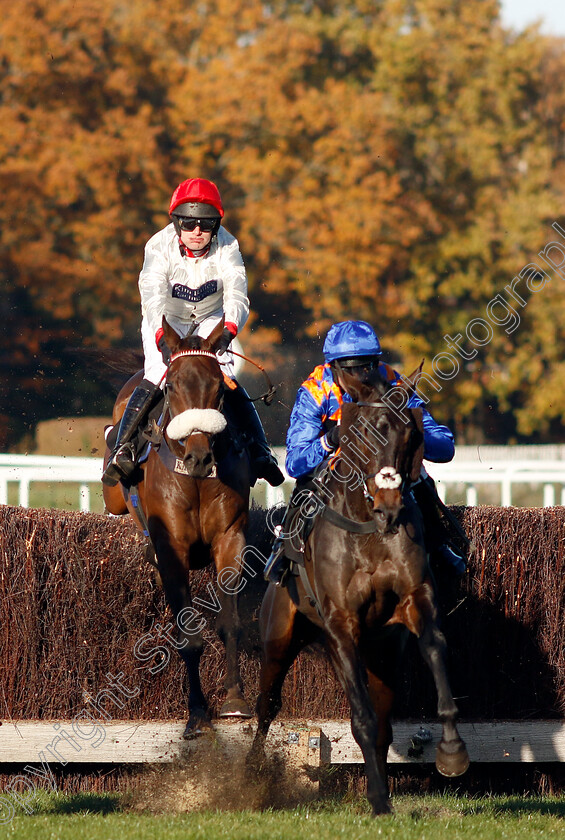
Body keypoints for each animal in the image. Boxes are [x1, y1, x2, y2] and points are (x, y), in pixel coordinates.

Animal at [102, 316, 252, 736]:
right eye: (171, 386)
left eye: (219, 388)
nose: (200, 457)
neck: (195, 479)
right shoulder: (173, 549)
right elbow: (188, 637)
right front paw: (197, 714)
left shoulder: (230, 538)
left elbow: (230, 622)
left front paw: (234, 700)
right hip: (115, 498)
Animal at [247, 366, 468, 812]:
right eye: (361, 432)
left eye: (410, 435)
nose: (389, 504)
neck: (369, 527)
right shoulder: (340, 623)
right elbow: (360, 719)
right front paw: (379, 799)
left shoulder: (414, 600)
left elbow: (434, 648)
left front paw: (452, 751)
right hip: (279, 635)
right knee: (268, 703)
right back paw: (251, 773)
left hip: (381, 650)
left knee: (382, 716)